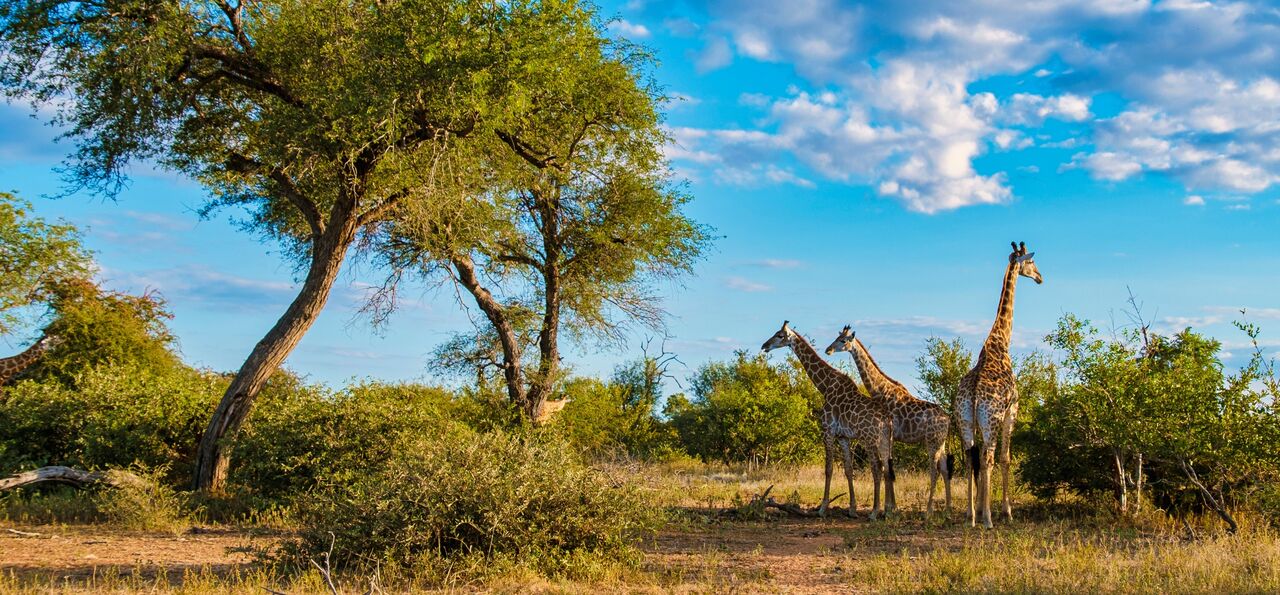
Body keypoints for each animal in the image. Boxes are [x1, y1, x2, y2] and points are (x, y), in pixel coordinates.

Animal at [761, 321, 895, 519]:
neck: (824, 386)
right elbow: (848, 469)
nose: (764, 346)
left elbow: (829, 469)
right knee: (887, 468)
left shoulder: (827, 431)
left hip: (870, 439)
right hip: (886, 439)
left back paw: (874, 512)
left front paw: (823, 508)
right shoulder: (843, 437)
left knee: (877, 468)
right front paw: (852, 509)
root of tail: (887, 419)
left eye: (779, 335)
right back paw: (887, 511)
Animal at [825, 326, 953, 517]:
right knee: (944, 469)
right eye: (837, 337)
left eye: (842, 340)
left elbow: (887, 468)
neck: (880, 390)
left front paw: (889, 508)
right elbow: (889, 468)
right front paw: (892, 507)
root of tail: (948, 419)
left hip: (932, 442)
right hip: (940, 442)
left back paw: (928, 511)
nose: (828, 350)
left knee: (934, 471)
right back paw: (948, 509)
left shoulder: (889, 434)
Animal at [958, 241, 1042, 529]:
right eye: (1031, 263)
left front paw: (979, 509)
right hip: (991, 419)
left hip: (965, 420)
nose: (1040, 278)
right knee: (989, 458)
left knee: (971, 457)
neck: (1000, 342)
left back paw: (971, 515)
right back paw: (988, 519)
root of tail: (973, 394)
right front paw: (1006, 511)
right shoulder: (1011, 410)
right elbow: (1006, 458)